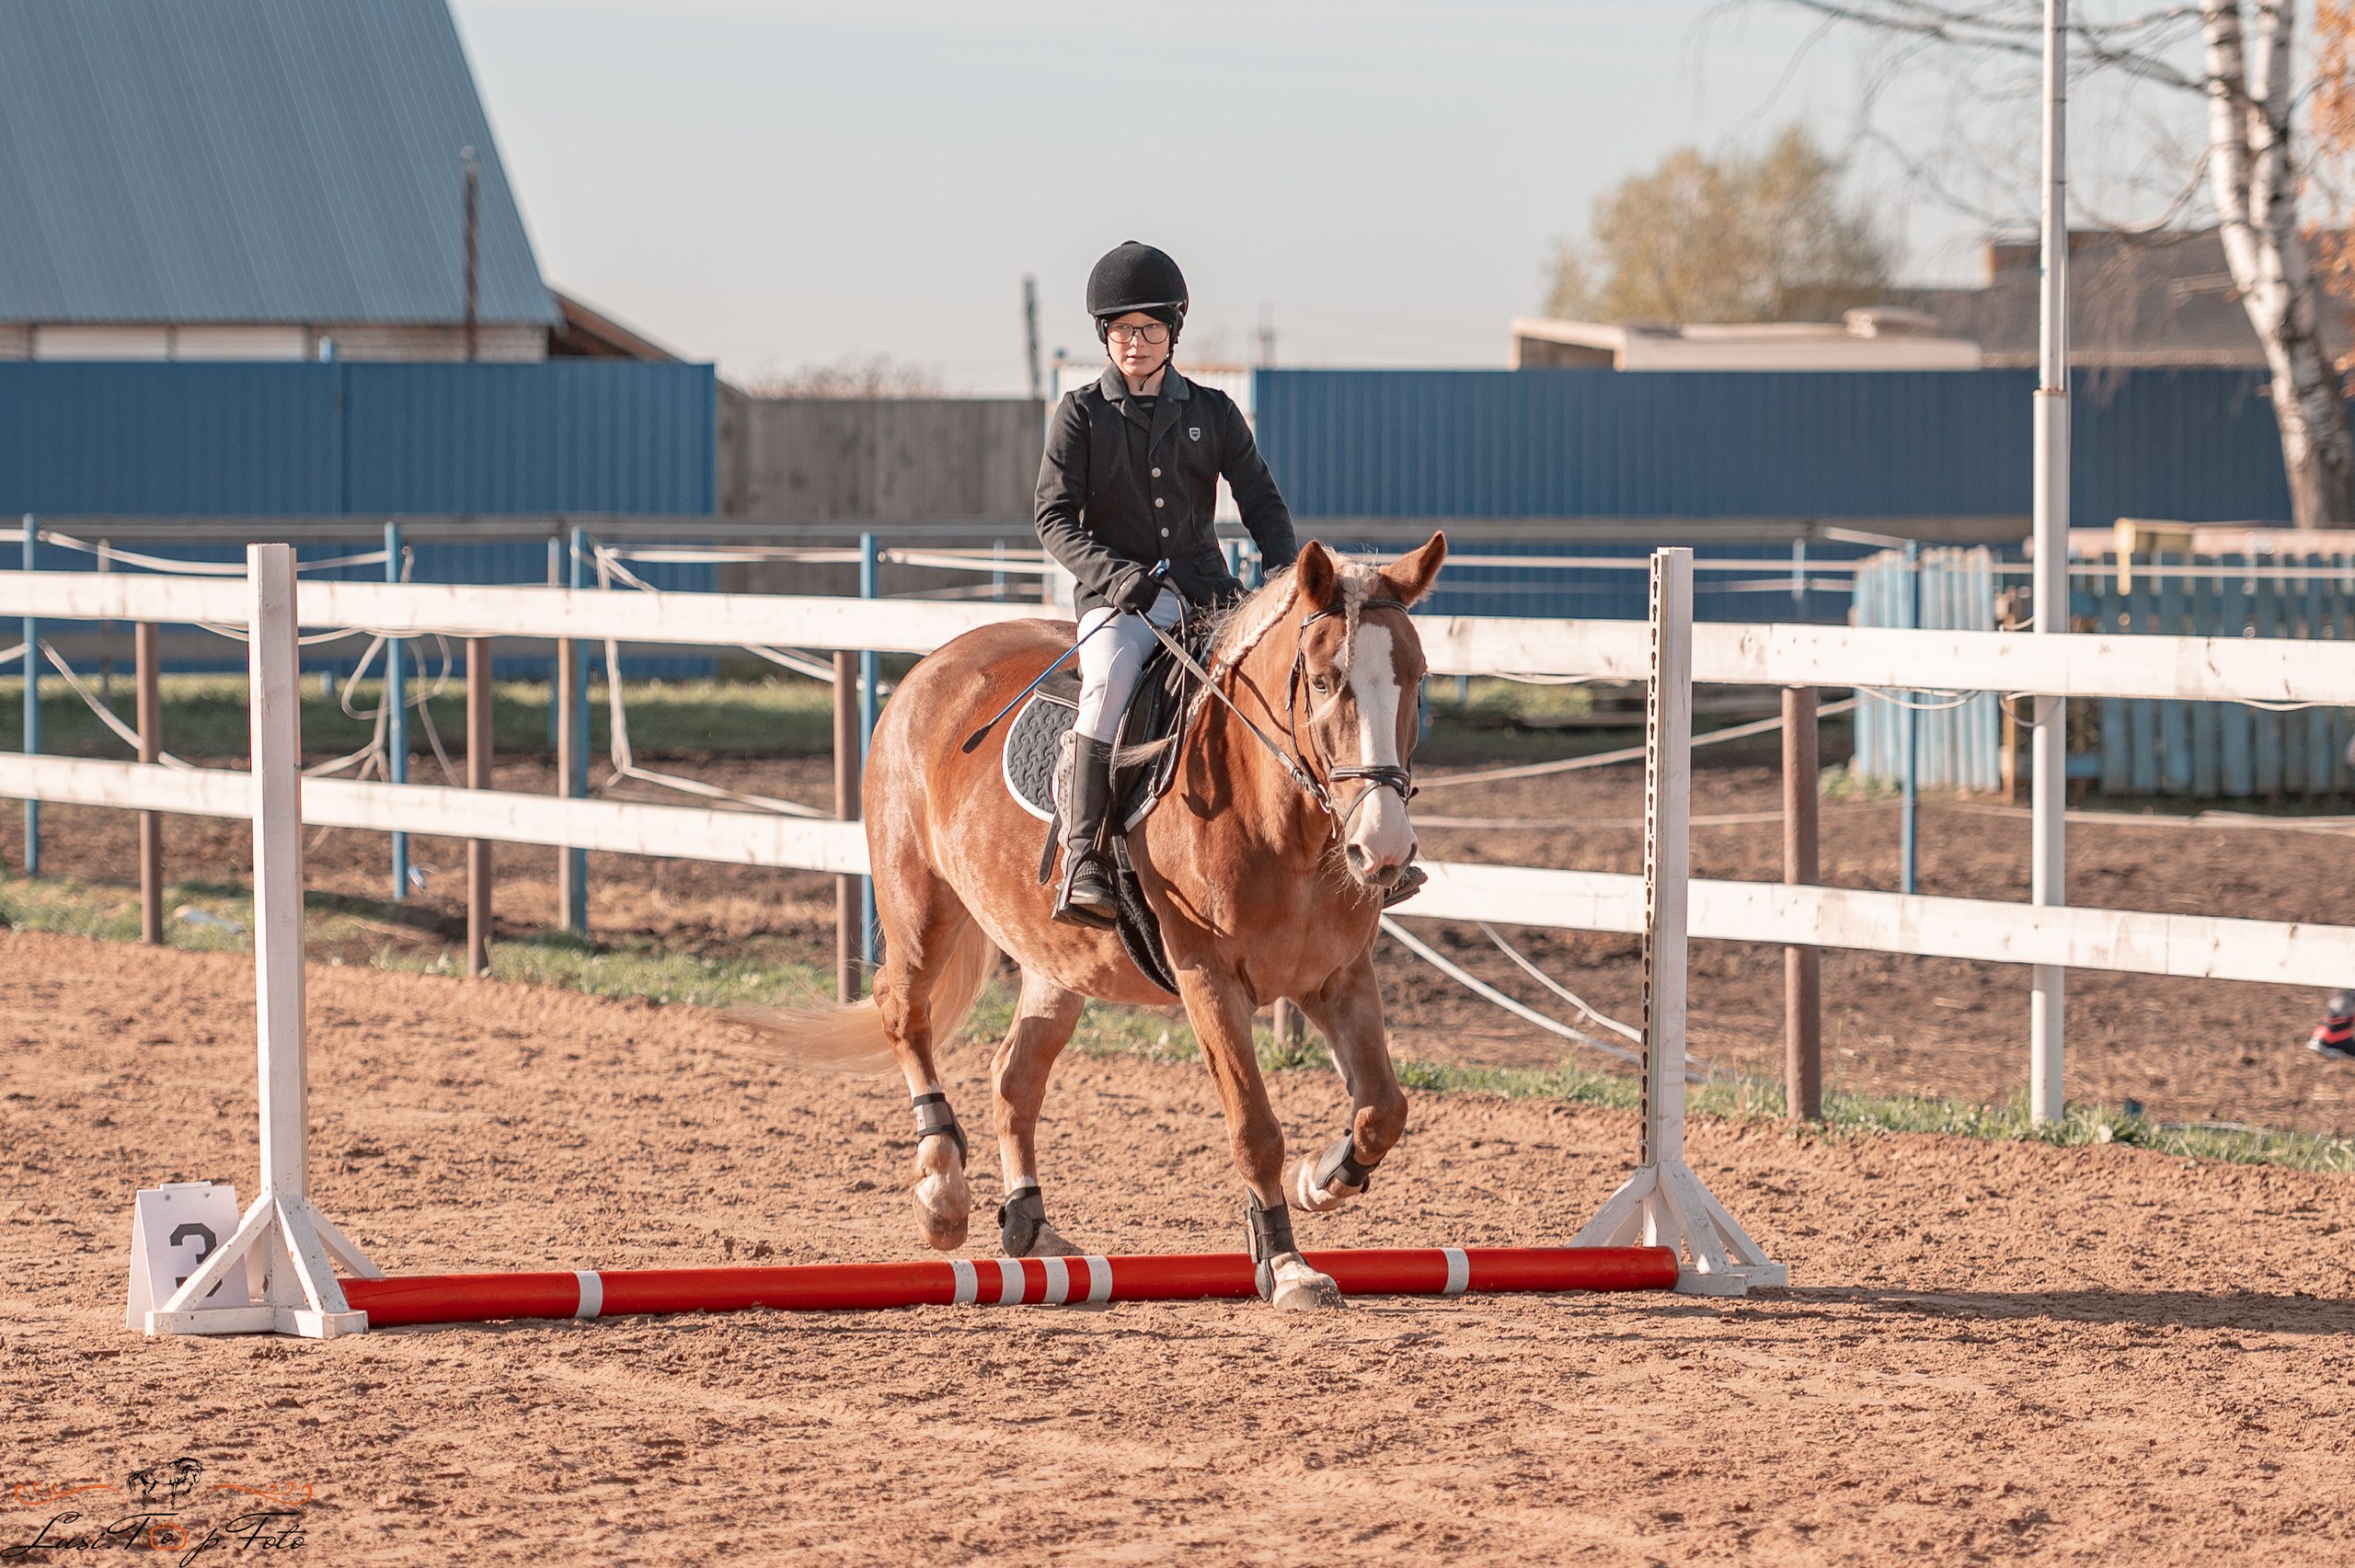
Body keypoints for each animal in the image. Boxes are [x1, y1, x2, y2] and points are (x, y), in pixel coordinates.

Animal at [787, 532, 1431, 1299]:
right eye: (1327, 678)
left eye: (1418, 676)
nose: (1384, 848)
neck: (1283, 825)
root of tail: (931, 667)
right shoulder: (1208, 978)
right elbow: (1255, 1128)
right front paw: (1284, 1262)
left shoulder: (1339, 976)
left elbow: (1384, 1108)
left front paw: (1321, 1178)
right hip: (920, 904)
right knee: (902, 1012)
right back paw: (942, 1191)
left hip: (1057, 960)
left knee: (1014, 1075)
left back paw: (1030, 1225)